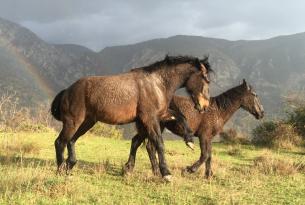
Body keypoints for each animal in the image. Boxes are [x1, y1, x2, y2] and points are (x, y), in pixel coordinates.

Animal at [50, 54, 211, 181]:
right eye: (205, 79)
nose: (204, 106)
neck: (157, 84)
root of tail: (67, 90)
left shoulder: (158, 115)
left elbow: (180, 117)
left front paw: (189, 140)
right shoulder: (150, 118)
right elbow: (158, 142)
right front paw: (166, 173)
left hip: (87, 122)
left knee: (71, 140)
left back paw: (70, 166)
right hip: (73, 122)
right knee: (60, 142)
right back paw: (61, 170)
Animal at [129, 79, 262, 178]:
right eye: (254, 95)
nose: (261, 113)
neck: (217, 110)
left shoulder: (209, 137)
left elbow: (209, 155)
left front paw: (208, 175)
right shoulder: (204, 136)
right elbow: (204, 155)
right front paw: (189, 170)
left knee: (143, 145)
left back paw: (145, 171)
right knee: (147, 146)